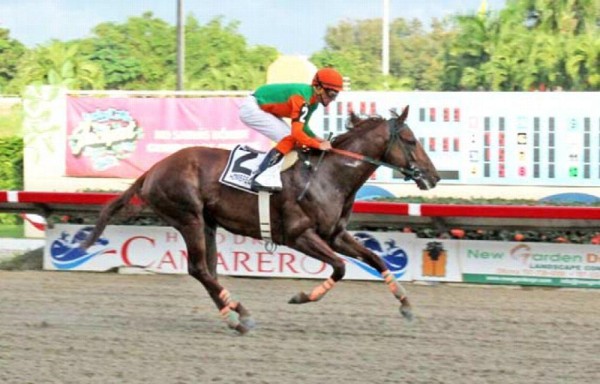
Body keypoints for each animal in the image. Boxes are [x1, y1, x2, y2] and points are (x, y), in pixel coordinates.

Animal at [83, 105, 440, 332]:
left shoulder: (334, 234)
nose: (434, 176)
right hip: (189, 218)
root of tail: (153, 169)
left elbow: (377, 259)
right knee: (198, 268)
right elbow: (339, 267)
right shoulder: (298, 235)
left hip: (207, 222)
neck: (330, 175)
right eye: (411, 140)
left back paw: (235, 314)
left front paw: (406, 305)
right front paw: (301, 297)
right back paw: (236, 315)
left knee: (207, 270)